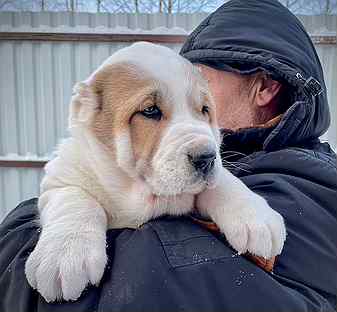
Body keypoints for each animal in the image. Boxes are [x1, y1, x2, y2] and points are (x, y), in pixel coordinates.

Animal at [25, 41, 284, 302]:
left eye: (204, 110)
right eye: (150, 111)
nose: (206, 157)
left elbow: (223, 181)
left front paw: (257, 217)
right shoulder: (61, 175)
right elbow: (74, 199)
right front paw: (65, 255)